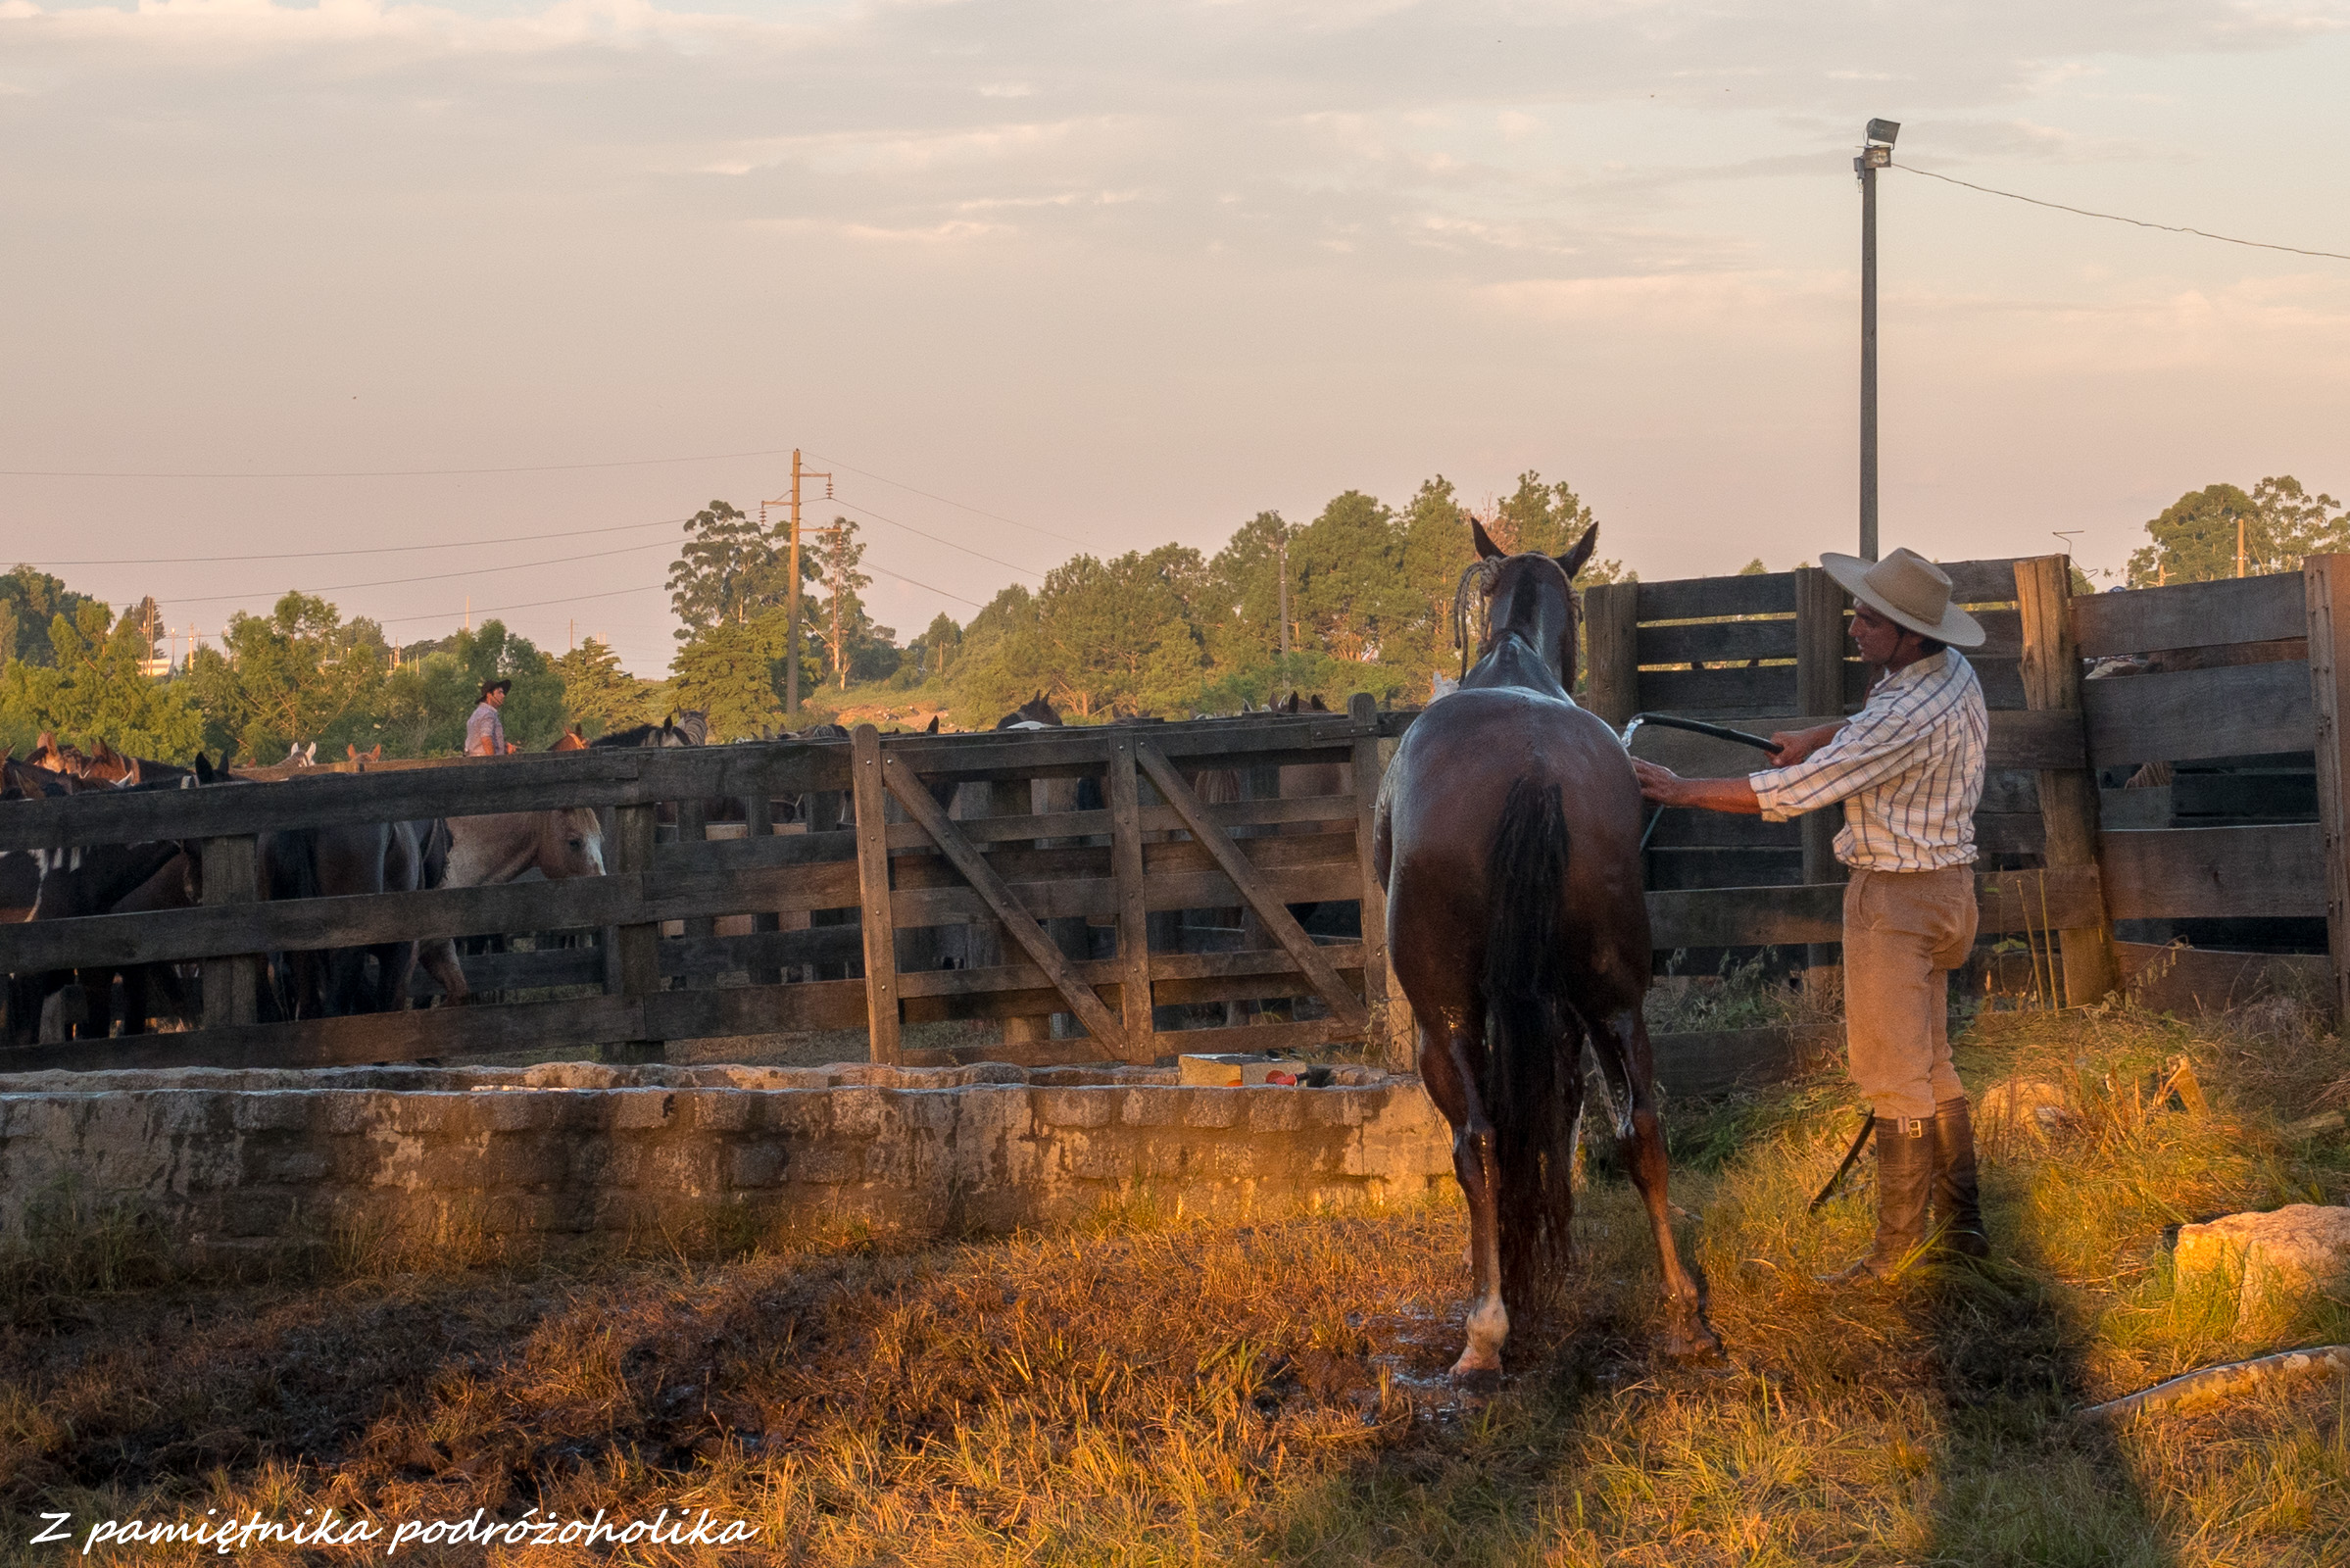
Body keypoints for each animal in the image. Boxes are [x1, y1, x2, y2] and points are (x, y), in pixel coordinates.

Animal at [1373, 519, 1720, 1379]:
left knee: (1478, 1141)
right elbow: (1563, 1116)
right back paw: (1683, 1308)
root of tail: (1530, 766)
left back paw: (1485, 1329)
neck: (1516, 660)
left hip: (1443, 1018)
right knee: (1641, 1126)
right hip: (1613, 992)